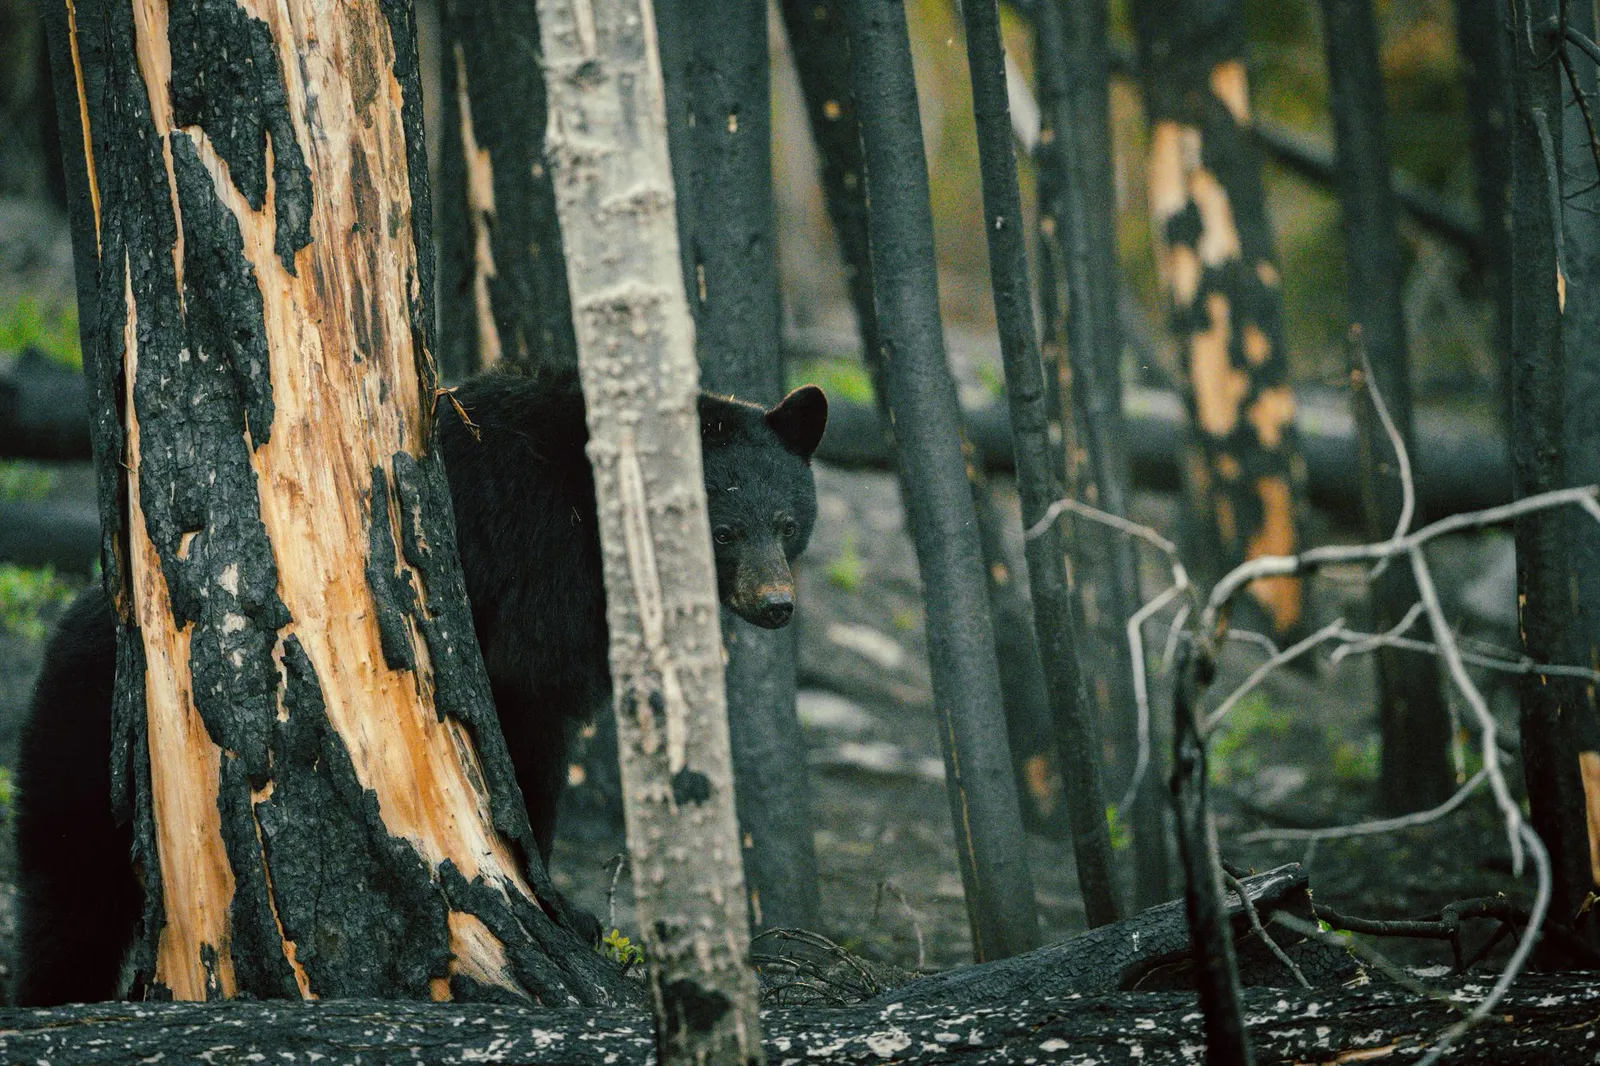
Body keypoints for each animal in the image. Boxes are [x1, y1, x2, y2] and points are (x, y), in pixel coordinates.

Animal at [10, 367, 827, 1006]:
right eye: (724, 529)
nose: (776, 605)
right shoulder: (543, 567)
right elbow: (526, 714)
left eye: (787, 521)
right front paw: (563, 903)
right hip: (88, 752)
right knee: (67, 898)